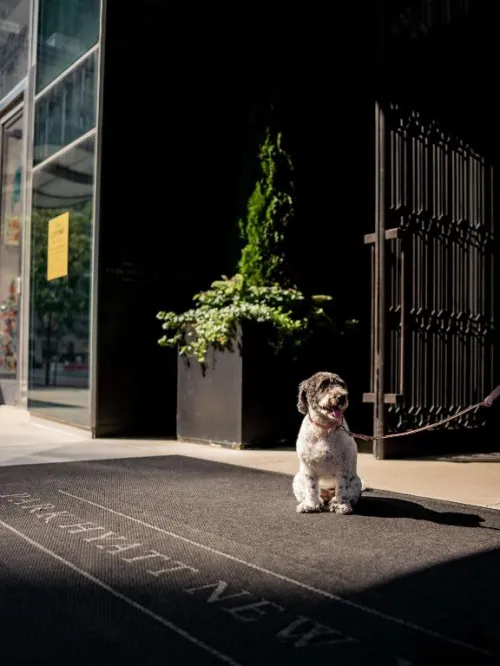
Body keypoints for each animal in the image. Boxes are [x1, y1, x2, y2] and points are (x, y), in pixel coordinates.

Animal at [292, 368, 364, 512]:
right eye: (323, 385)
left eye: (341, 385)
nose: (342, 396)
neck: (325, 430)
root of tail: (326, 493)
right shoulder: (308, 467)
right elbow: (311, 487)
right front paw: (311, 505)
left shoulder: (343, 467)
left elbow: (342, 488)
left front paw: (341, 505)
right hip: (297, 479)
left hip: (356, 482)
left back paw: (335, 501)